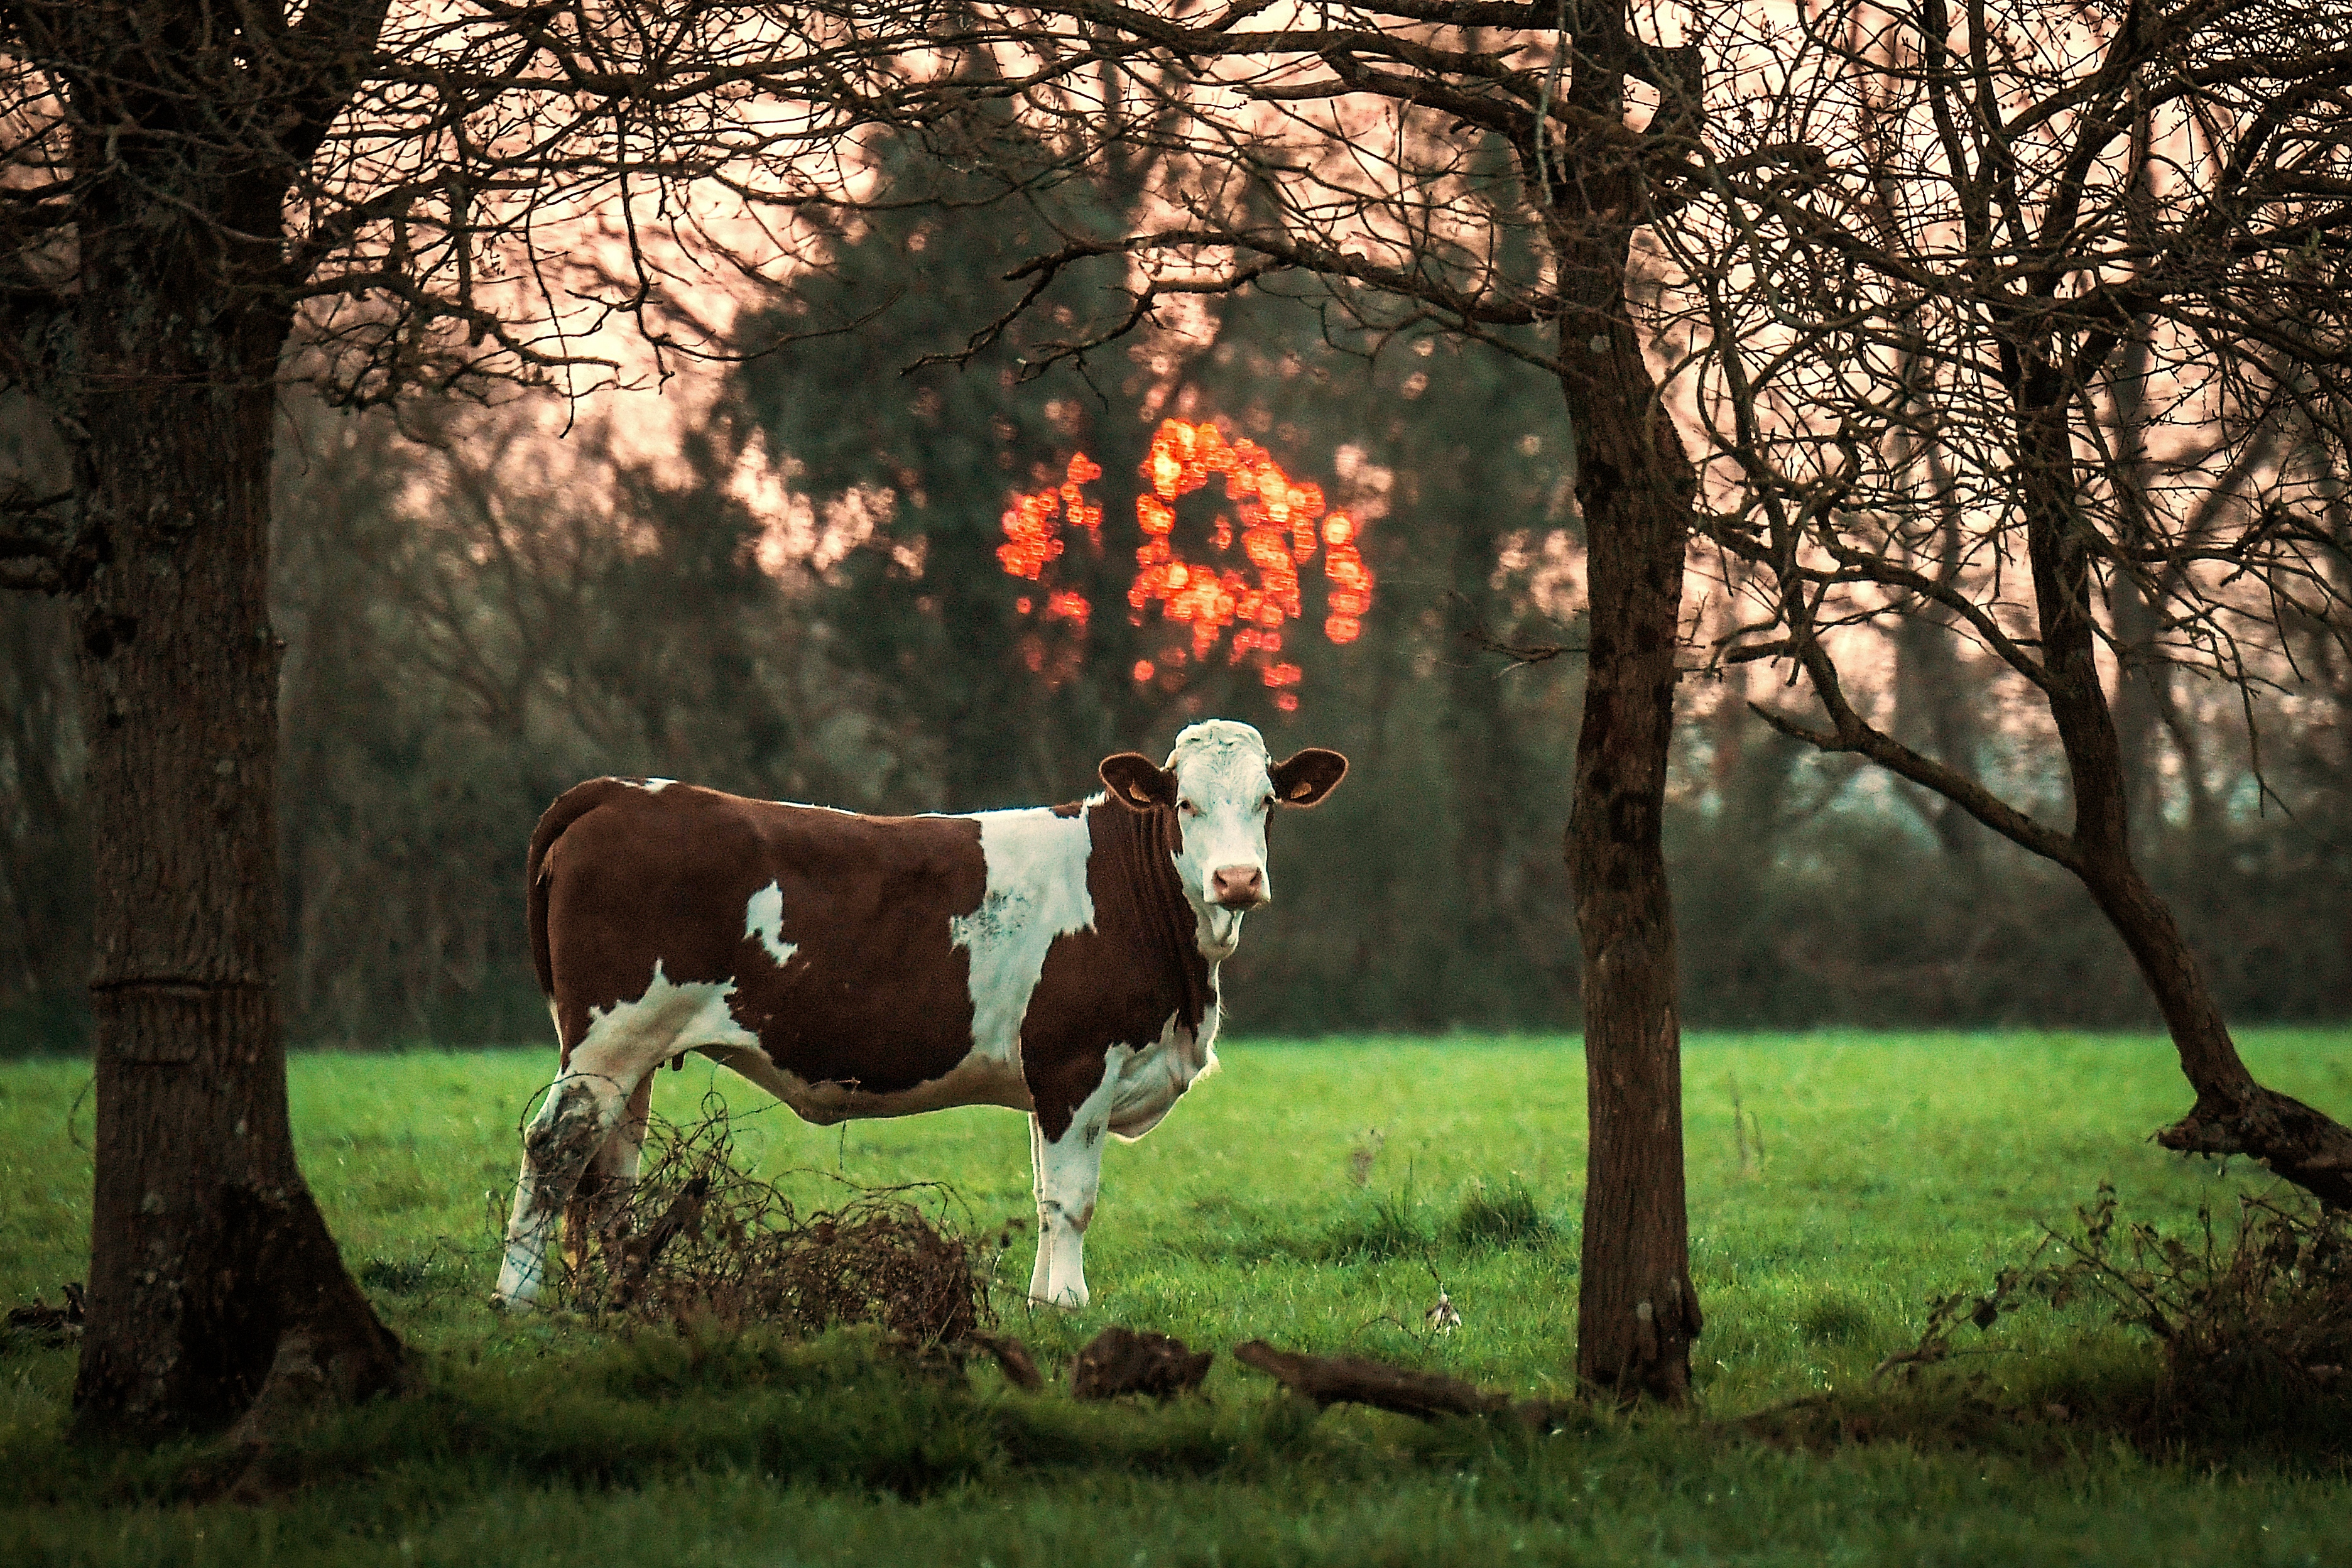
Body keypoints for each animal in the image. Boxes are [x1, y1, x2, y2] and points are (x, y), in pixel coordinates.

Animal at [491, 724, 1345, 1316]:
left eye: (1266, 802)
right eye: (1185, 803)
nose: (1237, 879)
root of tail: (623, 791)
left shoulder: (1048, 1079)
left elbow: (1044, 1193)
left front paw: (1040, 1305)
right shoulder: (1076, 1062)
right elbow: (1072, 1199)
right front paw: (1069, 1304)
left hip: (631, 1052)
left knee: (609, 1174)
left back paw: (615, 1294)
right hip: (612, 1037)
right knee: (556, 1145)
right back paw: (517, 1297)